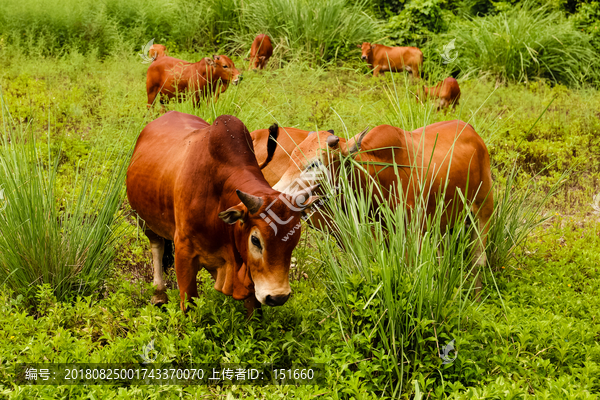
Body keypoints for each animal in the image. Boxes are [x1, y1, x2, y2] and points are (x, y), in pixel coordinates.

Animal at [270, 120, 492, 296]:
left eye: (314, 164)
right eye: (291, 158)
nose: (276, 194)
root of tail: (471, 131)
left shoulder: (414, 239)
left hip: (484, 208)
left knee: (478, 260)